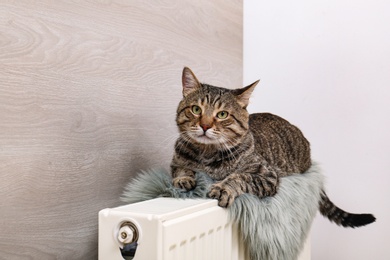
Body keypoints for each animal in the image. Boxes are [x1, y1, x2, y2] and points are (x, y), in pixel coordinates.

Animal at [170, 66, 374, 228]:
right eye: (196, 109)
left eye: (222, 114)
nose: (204, 126)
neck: (208, 155)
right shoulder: (176, 159)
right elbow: (180, 167)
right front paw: (183, 177)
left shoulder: (267, 176)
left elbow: (240, 176)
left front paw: (223, 187)